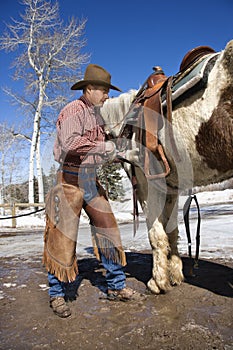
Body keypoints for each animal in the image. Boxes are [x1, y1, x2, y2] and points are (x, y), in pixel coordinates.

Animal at [101, 39, 233, 294]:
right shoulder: (171, 190)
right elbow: (172, 232)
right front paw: (175, 274)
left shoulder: (148, 186)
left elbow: (156, 235)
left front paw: (158, 282)